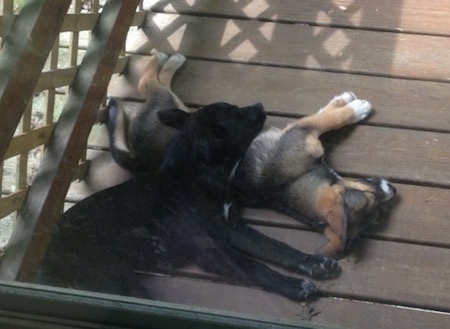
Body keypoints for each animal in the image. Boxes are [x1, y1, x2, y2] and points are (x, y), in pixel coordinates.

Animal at [37, 100, 338, 300]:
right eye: (236, 115)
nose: (261, 105)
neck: (198, 177)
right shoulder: (209, 249)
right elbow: (254, 266)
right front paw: (294, 287)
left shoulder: (232, 228)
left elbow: (275, 247)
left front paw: (315, 264)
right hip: (117, 283)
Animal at [103, 51, 396, 258]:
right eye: (371, 200)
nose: (393, 190)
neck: (292, 181)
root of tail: (140, 154)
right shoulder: (302, 130)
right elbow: (331, 118)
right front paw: (354, 107)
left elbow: (327, 114)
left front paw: (343, 101)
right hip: (169, 104)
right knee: (148, 84)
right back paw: (169, 58)